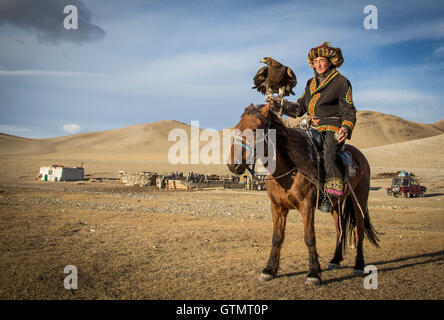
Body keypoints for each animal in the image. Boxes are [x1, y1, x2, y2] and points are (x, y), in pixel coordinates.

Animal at [229, 102, 378, 284]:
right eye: (237, 127)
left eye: (256, 128)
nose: (233, 164)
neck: (290, 168)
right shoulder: (277, 207)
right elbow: (277, 238)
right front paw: (269, 270)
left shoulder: (307, 207)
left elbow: (310, 238)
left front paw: (314, 273)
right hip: (336, 204)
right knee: (340, 229)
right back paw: (335, 260)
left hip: (360, 199)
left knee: (359, 231)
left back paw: (359, 266)